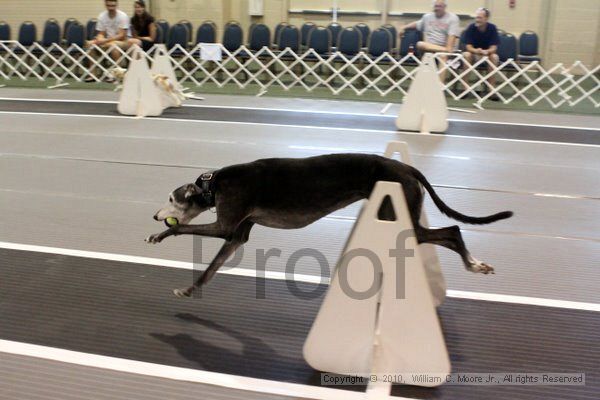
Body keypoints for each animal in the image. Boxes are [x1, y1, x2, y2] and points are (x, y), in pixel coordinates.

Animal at [144, 153, 510, 296]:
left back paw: (474, 263)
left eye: (173, 198)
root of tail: (406, 168)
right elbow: (210, 269)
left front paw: (160, 234)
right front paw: (189, 290)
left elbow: (182, 228)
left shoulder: (224, 224)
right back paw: (476, 264)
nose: (155, 215)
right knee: (450, 232)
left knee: (453, 230)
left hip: (401, 217)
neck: (215, 183)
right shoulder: (237, 235)